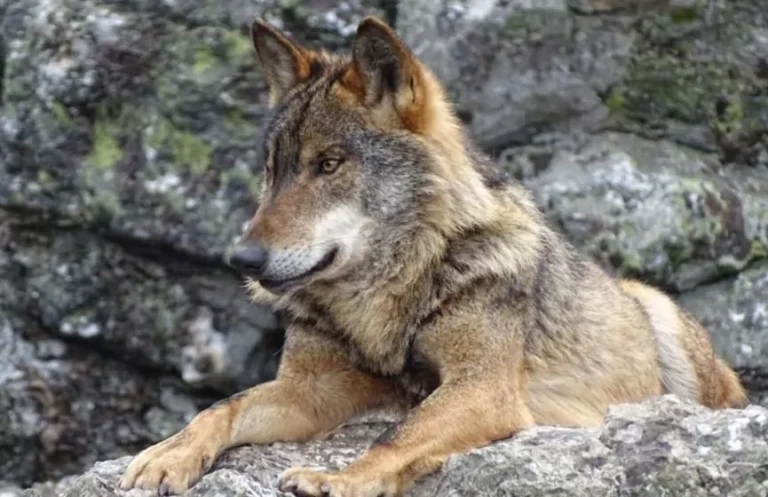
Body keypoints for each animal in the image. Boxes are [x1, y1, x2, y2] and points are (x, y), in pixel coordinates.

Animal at [120, 16, 748, 497]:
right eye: (274, 170)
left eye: (329, 164)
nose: (242, 259)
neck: (386, 302)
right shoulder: (312, 390)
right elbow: (222, 407)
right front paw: (169, 454)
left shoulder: (484, 388)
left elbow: (396, 434)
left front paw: (339, 480)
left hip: (660, 314)